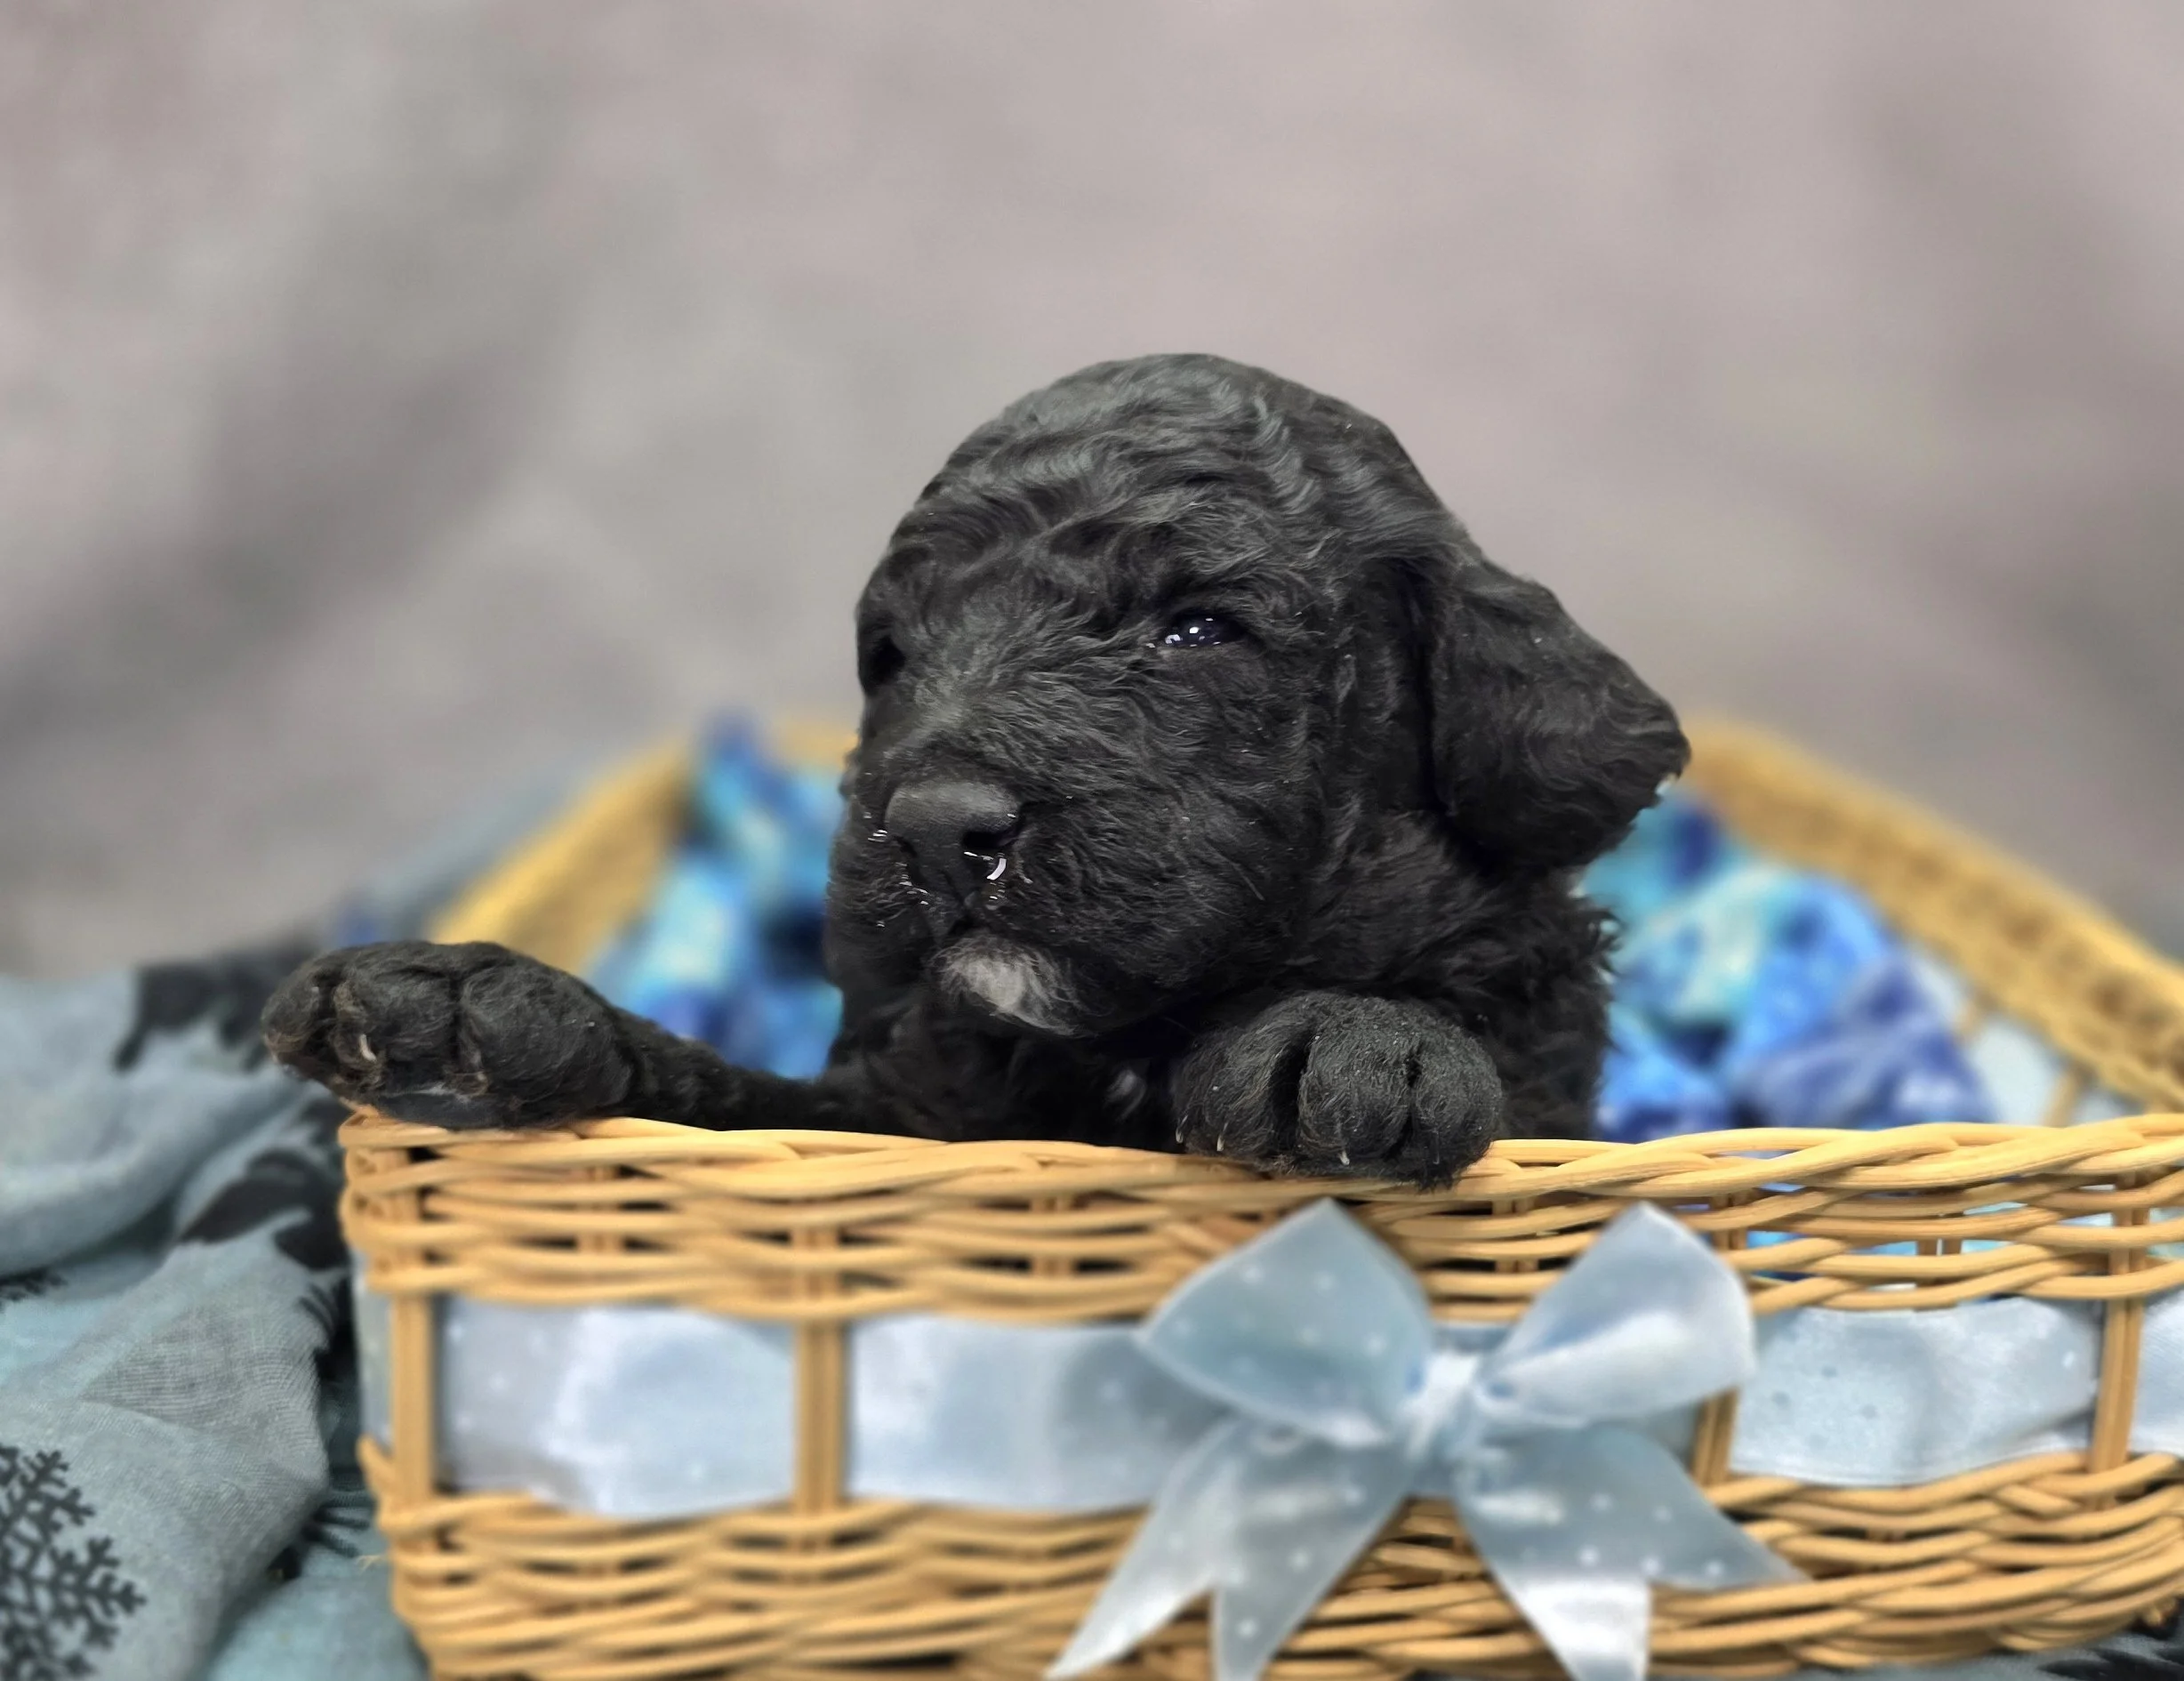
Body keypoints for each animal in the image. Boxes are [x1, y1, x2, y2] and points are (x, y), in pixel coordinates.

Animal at [262, 353, 1687, 1185]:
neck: (1125, 1047)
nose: (937, 830)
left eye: (1196, 628)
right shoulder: (894, 1113)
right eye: (892, 655)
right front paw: (468, 993)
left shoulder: (1553, 1086)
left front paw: (1358, 1031)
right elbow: (726, 1093)